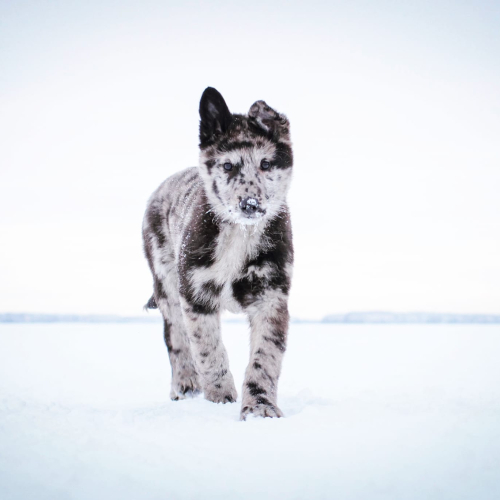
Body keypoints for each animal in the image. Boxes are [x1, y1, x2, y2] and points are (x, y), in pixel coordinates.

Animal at [142, 87, 292, 418]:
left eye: (266, 164)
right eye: (228, 166)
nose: (250, 204)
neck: (240, 233)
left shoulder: (272, 295)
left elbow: (265, 357)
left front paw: (259, 406)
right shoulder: (195, 293)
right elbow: (208, 350)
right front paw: (220, 396)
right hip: (166, 284)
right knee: (176, 339)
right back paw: (185, 386)